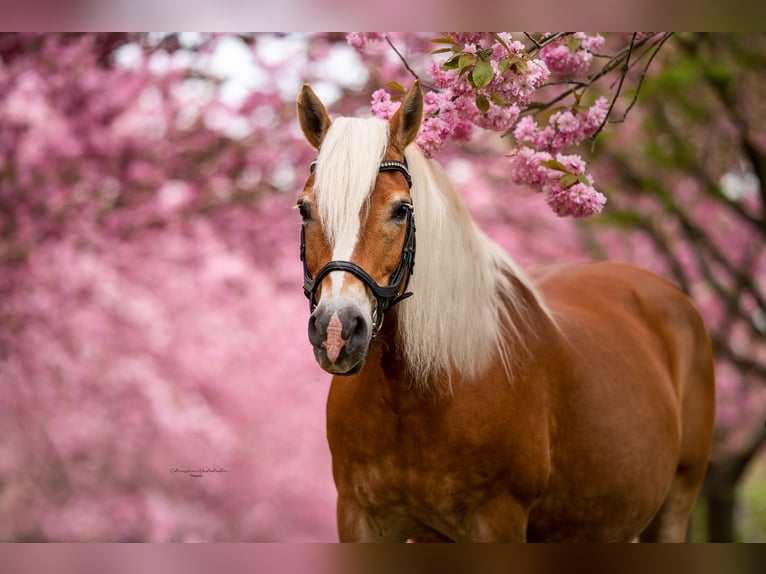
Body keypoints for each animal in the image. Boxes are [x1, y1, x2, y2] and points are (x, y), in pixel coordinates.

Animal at [296, 82, 720, 544]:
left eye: (402, 210)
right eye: (304, 209)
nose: (336, 330)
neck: (416, 393)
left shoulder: (498, 519)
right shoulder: (360, 518)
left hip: (674, 505)